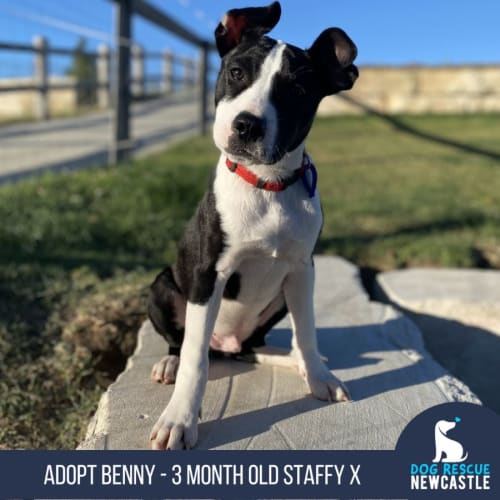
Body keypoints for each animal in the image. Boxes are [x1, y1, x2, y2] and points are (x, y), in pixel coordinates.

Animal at [146, 0, 358, 452]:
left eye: (298, 91)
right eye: (237, 73)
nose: (247, 125)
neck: (268, 183)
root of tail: (224, 345)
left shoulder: (302, 270)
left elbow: (307, 330)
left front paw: (319, 377)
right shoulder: (209, 272)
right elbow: (194, 360)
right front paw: (179, 419)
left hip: (277, 301)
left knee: (252, 347)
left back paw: (293, 360)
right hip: (163, 285)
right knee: (185, 343)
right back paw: (170, 361)